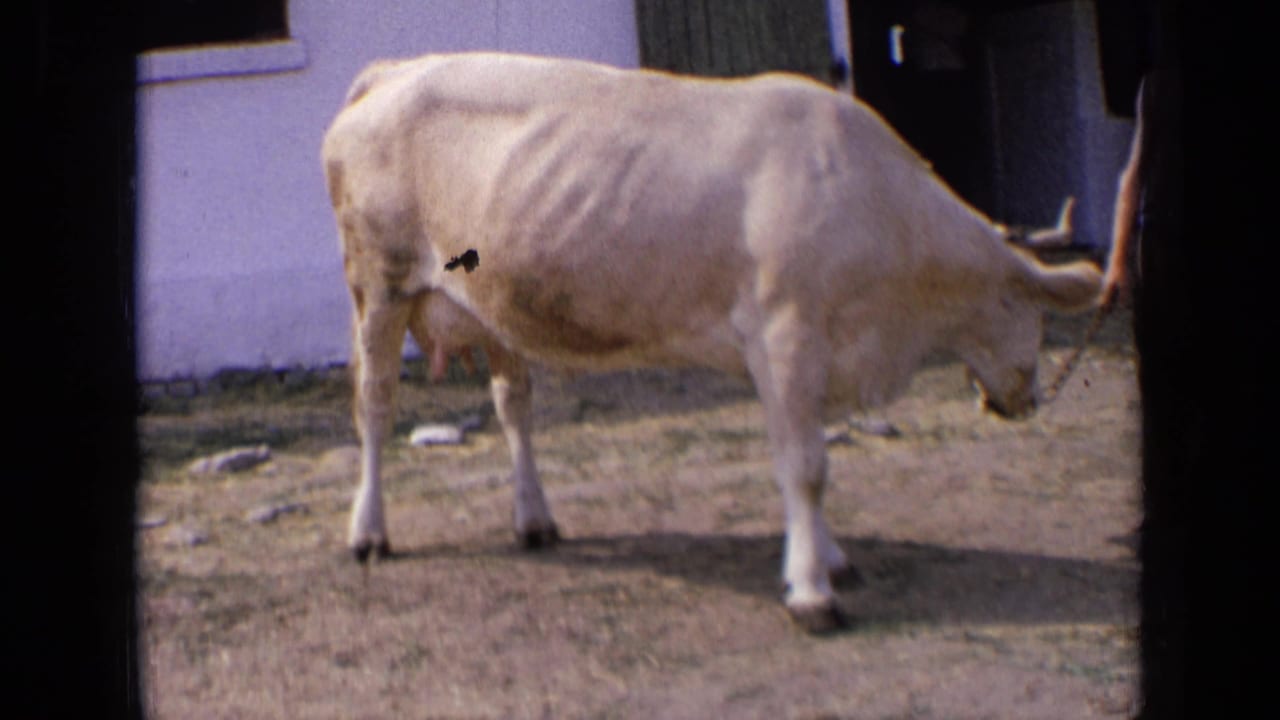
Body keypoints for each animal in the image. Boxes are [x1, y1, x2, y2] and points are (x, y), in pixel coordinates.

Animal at [321, 52, 1107, 632]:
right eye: (1029, 311)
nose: (1028, 396)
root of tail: (393, 71)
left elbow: (806, 459)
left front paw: (831, 558)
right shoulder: (786, 335)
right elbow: (806, 466)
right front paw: (813, 591)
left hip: (491, 300)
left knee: (513, 403)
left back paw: (535, 519)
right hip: (378, 283)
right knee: (375, 407)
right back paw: (369, 533)